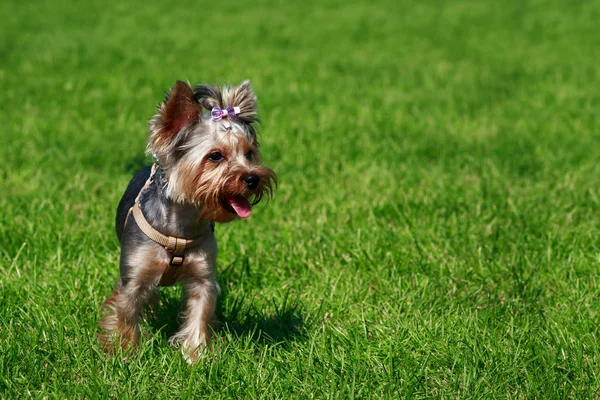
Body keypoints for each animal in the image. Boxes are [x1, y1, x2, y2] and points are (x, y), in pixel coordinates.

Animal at [99, 79, 276, 360]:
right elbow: (125, 311)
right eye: (215, 156)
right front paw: (123, 353)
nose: (252, 178)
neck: (180, 225)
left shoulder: (202, 277)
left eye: (249, 154)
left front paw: (195, 355)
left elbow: (200, 313)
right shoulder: (133, 276)